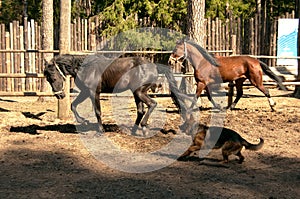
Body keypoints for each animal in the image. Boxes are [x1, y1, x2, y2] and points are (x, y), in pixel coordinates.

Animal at [44, 54, 190, 135]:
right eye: (47, 79)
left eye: (53, 78)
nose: (59, 95)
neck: (85, 68)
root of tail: (154, 65)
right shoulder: (85, 92)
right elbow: (73, 105)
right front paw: (83, 121)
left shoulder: (93, 92)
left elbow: (97, 111)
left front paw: (100, 130)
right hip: (136, 93)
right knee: (141, 110)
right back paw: (134, 131)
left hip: (139, 92)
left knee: (152, 104)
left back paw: (143, 127)